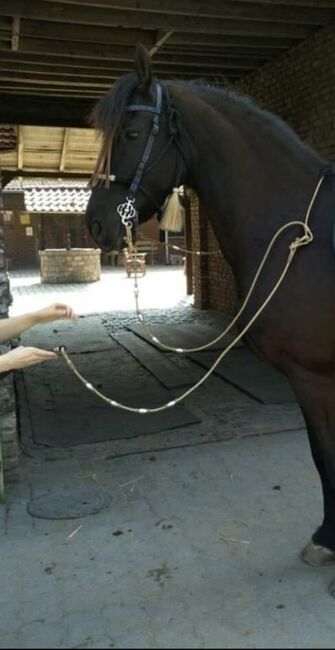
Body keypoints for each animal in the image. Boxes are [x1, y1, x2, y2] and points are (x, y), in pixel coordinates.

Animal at [87, 44, 335, 592]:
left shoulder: (315, 376)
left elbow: (327, 456)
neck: (304, 238)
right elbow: (320, 456)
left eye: (131, 134)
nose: (94, 224)